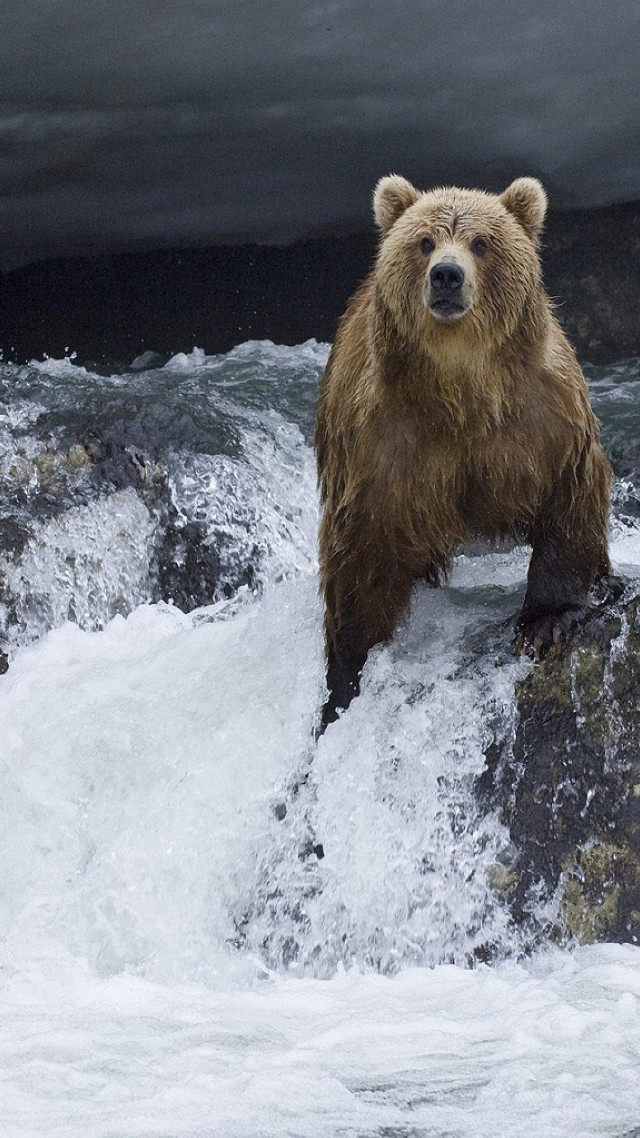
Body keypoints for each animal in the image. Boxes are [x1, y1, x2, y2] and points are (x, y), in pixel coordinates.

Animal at [316, 174, 612, 731]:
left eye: (481, 243)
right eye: (424, 241)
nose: (447, 276)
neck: (461, 392)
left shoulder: (543, 417)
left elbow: (568, 499)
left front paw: (544, 624)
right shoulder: (383, 443)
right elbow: (361, 552)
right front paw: (346, 676)